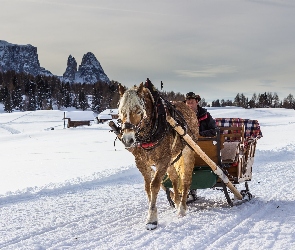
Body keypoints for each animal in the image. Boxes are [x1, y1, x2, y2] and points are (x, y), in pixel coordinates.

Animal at [115, 80, 199, 230]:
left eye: (139, 111)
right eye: (121, 112)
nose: (128, 139)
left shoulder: (163, 160)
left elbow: (154, 185)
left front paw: (152, 218)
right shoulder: (142, 162)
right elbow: (147, 186)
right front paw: (151, 211)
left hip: (188, 151)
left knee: (186, 180)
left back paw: (182, 208)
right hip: (172, 159)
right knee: (174, 178)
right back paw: (177, 202)